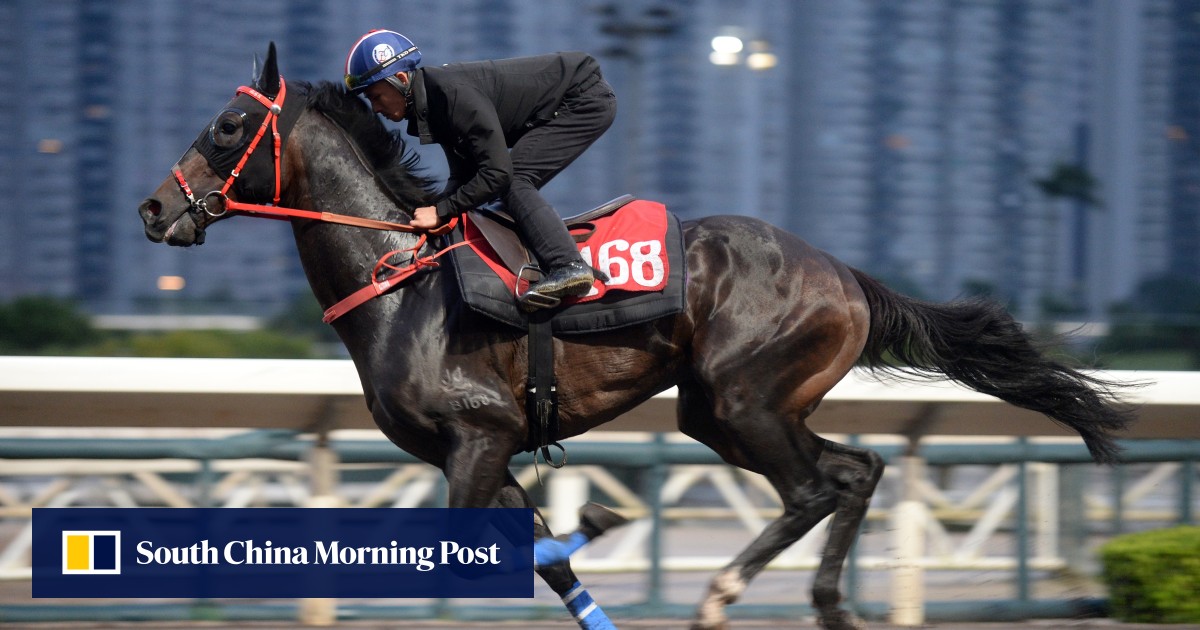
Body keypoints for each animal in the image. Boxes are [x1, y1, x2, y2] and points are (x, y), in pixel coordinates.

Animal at [138, 44, 1132, 630]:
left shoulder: (479, 435)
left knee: (814, 488)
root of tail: (845, 273)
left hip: (742, 395)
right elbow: (543, 562)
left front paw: (602, 520)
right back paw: (827, 605)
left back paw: (723, 595)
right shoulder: (486, 453)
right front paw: (587, 537)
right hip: (726, 409)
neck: (400, 279)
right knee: (856, 472)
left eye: (229, 125)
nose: (153, 209)